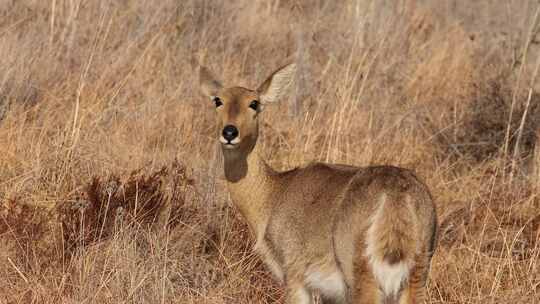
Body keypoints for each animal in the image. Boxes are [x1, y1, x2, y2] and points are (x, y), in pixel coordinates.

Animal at [199, 60, 438, 302]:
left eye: (254, 103)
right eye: (218, 100)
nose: (230, 132)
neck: (271, 197)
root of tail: (396, 196)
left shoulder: (293, 272)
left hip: (360, 273)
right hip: (418, 272)